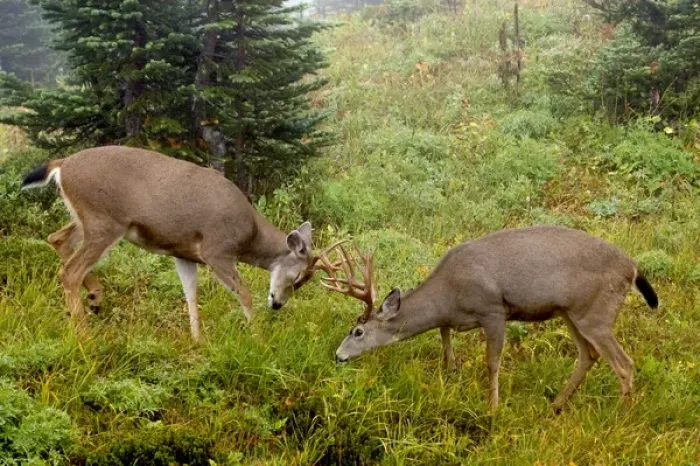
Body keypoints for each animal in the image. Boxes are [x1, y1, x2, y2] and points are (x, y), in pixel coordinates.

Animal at [21, 145, 323, 341]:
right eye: (298, 278)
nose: (278, 304)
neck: (249, 235)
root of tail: (61, 165)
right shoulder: (217, 251)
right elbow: (244, 294)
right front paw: (257, 338)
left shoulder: (184, 254)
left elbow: (191, 295)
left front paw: (198, 340)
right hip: (103, 222)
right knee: (69, 271)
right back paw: (84, 335)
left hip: (87, 220)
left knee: (57, 239)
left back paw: (94, 299)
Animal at [320, 226, 659, 412]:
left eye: (357, 331)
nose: (337, 355)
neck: (448, 295)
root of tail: (632, 268)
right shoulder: (454, 319)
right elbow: (445, 339)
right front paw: (451, 373)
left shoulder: (493, 310)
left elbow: (492, 362)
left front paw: (492, 407)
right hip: (572, 313)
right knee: (589, 355)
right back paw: (555, 406)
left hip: (596, 314)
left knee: (624, 364)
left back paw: (620, 416)